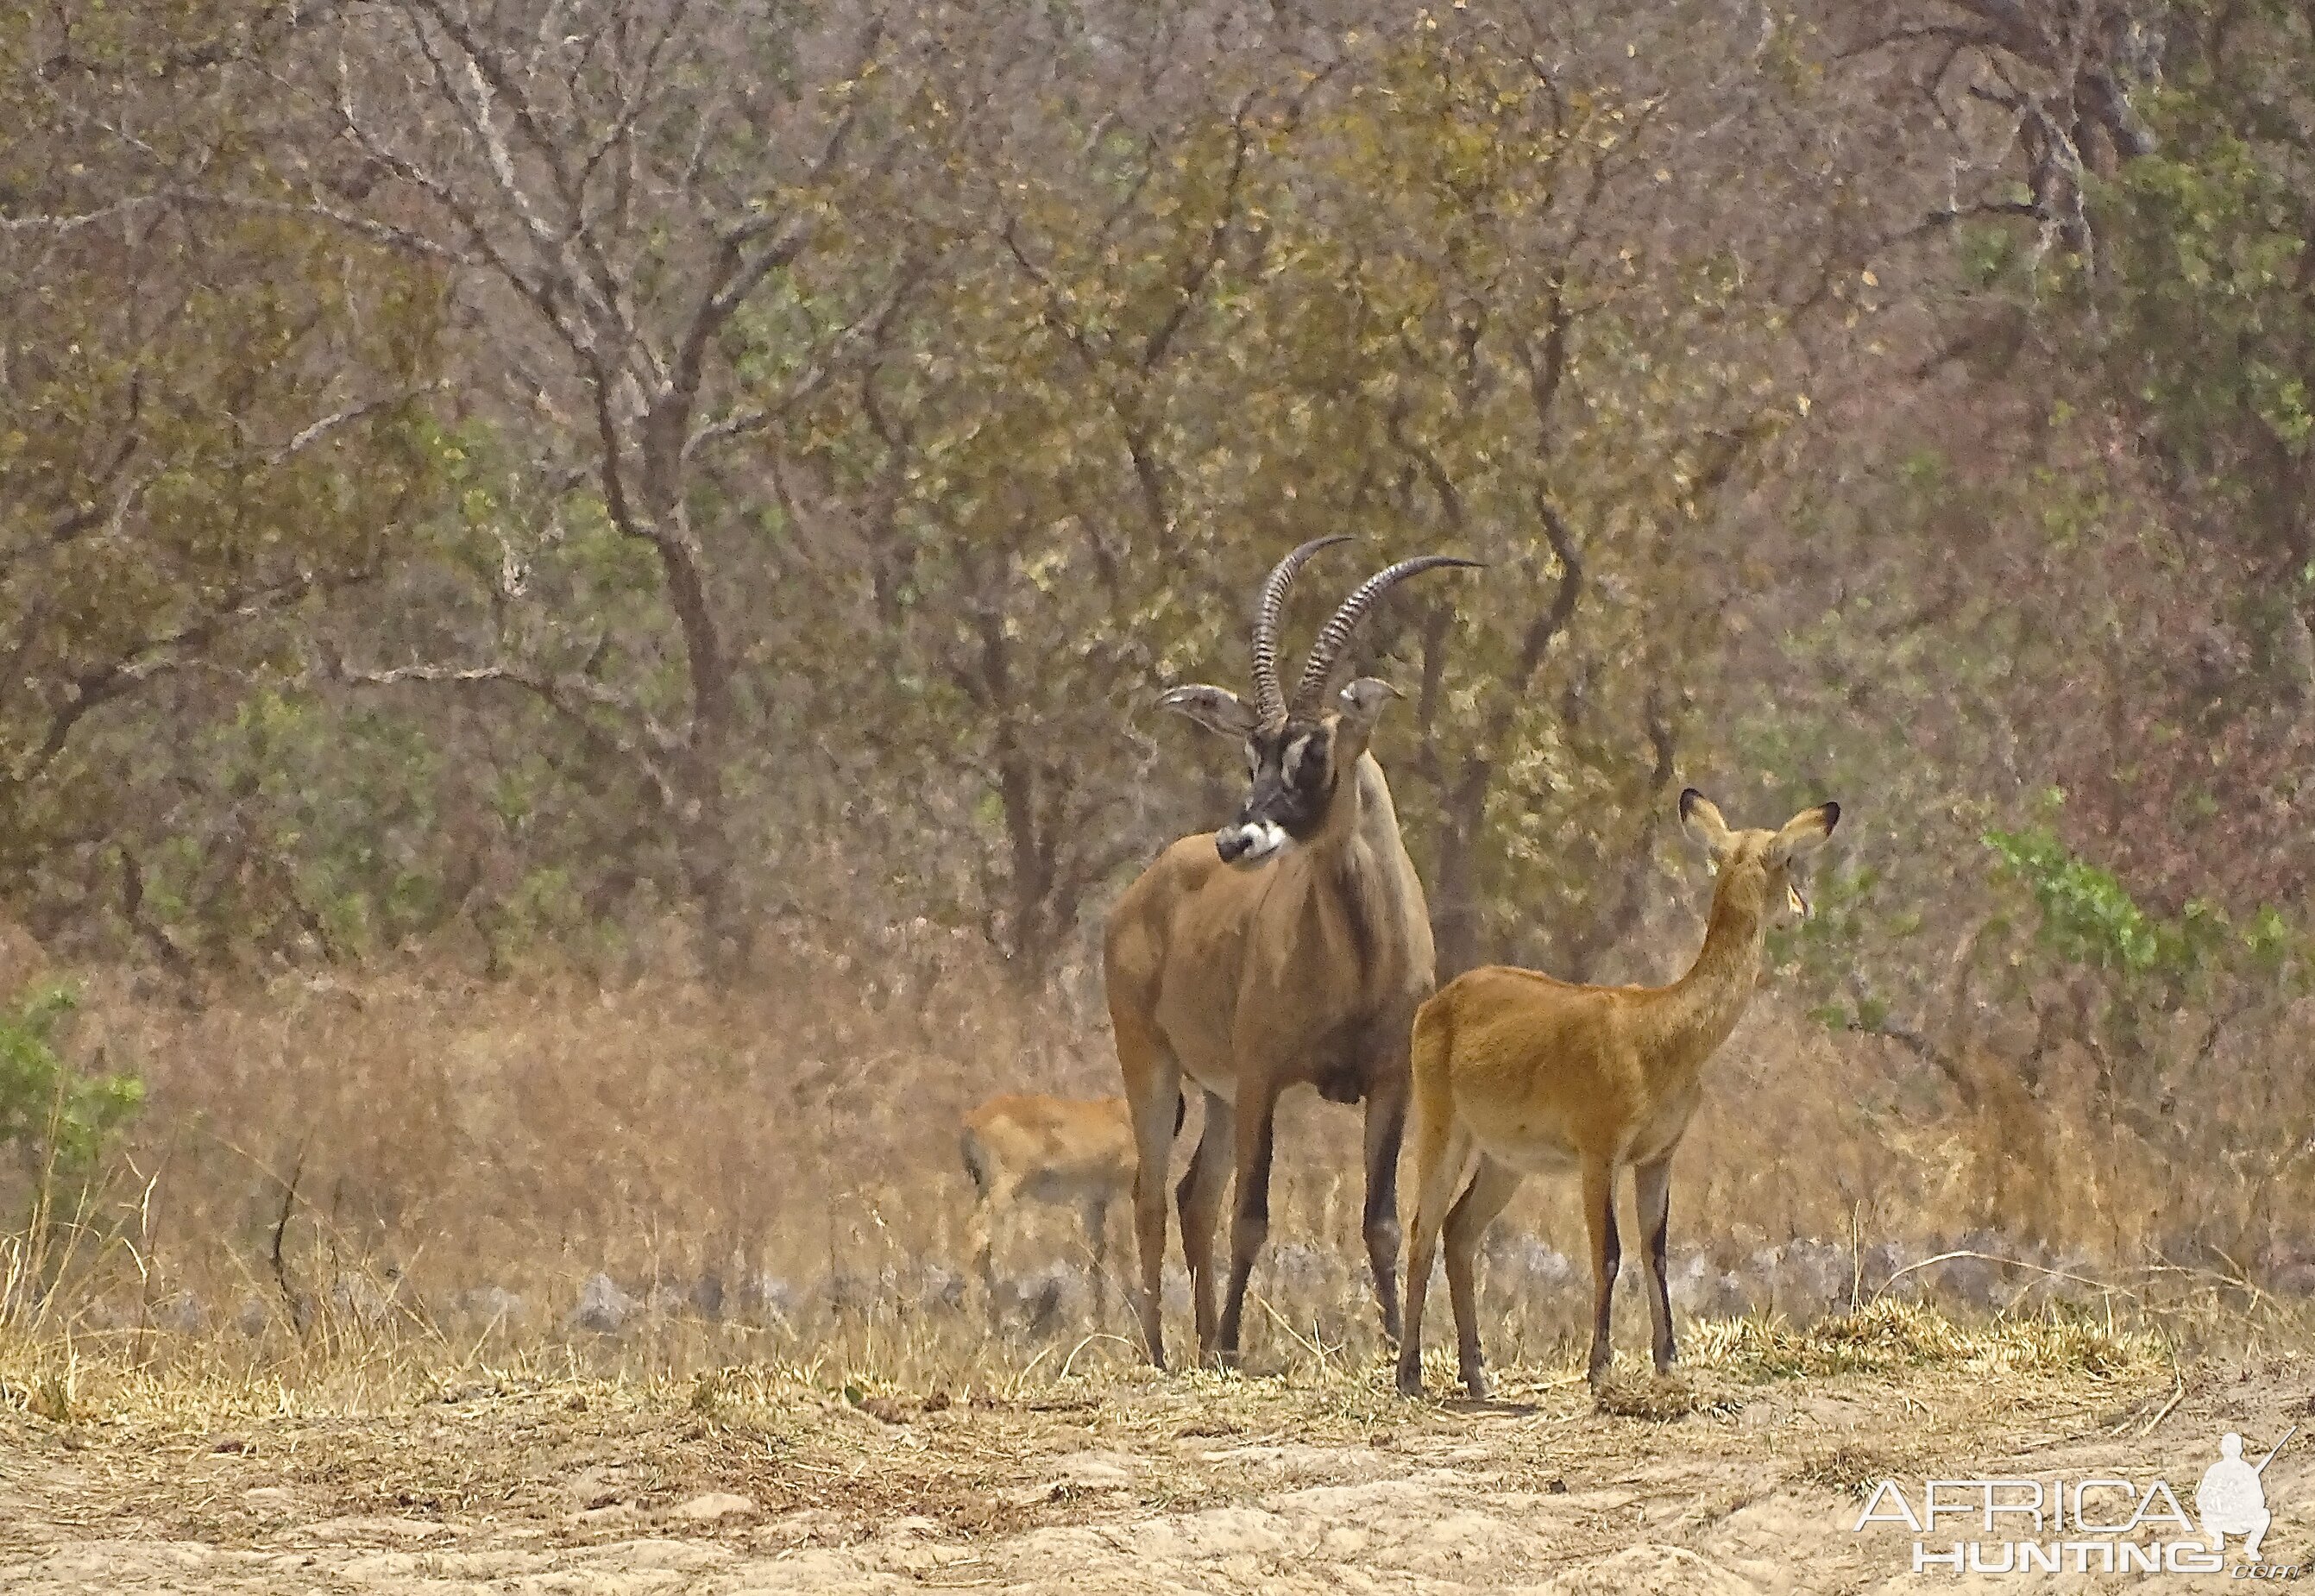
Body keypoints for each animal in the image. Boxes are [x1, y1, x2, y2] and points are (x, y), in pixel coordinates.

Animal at [1106, 541, 1472, 1360]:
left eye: (1315, 751)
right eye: (1252, 754)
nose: (1237, 840)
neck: (1360, 960)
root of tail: (1147, 885)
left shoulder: (1390, 1082)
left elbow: (1379, 1221)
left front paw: (1396, 1343)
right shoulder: (1266, 1077)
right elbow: (1252, 1217)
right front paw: (1232, 1345)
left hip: (1216, 1093)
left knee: (1192, 1194)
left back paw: (1199, 1345)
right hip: (1155, 1063)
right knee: (1152, 1195)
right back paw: (1164, 1352)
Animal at [1388, 790, 1842, 1387]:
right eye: (1787, 859)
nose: (1800, 908)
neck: (1662, 1031)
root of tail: (1438, 1001)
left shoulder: (1657, 1158)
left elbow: (1655, 1251)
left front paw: (1668, 1359)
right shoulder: (1599, 1154)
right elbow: (1608, 1252)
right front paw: (1599, 1365)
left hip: (1505, 1161)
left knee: (1459, 1230)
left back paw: (1477, 1373)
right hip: (1444, 1132)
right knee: (1421, 1229)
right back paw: (1410, 1376)